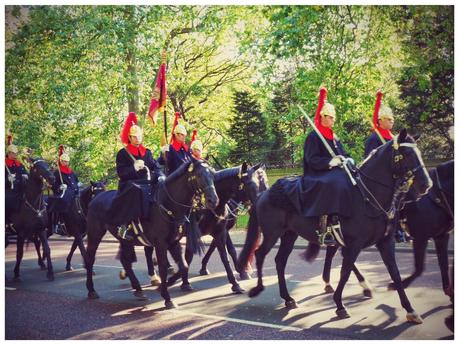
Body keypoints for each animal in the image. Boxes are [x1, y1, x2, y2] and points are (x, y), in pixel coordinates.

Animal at [85, 157, 220, 308]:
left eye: (213, 174)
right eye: (199, 175)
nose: (213, 200)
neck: (168, 204)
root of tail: (96, 198)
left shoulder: (173, 242)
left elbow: (183, 266)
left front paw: (167, 285)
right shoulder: (161, 244)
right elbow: (163, 267)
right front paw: (167, 298)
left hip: (124, 240)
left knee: (126, 261)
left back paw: (138, 289)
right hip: (94, 234)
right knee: (90, 259)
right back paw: (91, 290)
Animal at [167, 163, 270, 292]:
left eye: (263, 182)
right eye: (250, 184)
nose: (261, 205)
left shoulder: (220, 231)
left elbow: (220, 252)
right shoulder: (202, 234)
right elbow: (190, 256)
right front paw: (184, 281)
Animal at [239, 129, 434, 322]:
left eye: (419, 152)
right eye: (406, 153)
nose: (426, 185)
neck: (367, 196)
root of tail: (263, 194)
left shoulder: (384, 243)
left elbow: (395, 273)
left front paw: (410, 309)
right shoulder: (353, 244)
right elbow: (345, 271)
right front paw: (340, 304)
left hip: (289, 235)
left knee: (280, 260)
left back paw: (288, 298)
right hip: (272, 233)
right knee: (260, 254)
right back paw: (257, 288)